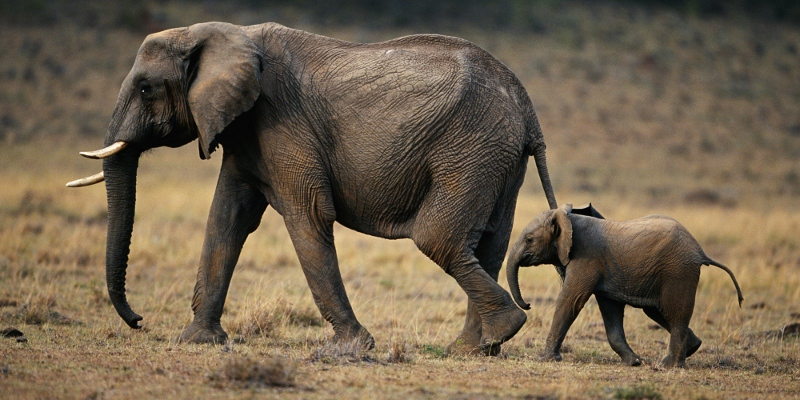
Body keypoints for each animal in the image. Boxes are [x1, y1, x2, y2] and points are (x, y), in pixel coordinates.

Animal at [69, 21, 556, 354]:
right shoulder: (246, 133)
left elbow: (308, 216)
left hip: (472, 146)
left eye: (146, 89)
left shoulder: (281, 121)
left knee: (438, 238)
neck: (216, 33)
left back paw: (501, 330)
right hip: (497, 157)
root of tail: (528, 107)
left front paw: (352, 348)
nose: (138, 320)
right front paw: (197, 341)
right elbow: (226, 219)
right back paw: (474, 348)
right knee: (488, 244)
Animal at [506, 205, 744, 368]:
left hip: (678, 271)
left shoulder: (586, 258)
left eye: (529, 239)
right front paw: (634, 362)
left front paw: (544, 359)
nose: (528, 305)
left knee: (675, 313)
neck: (567, 218)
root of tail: (700, 251)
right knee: (659, 311)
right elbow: (610, 310)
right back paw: (692, 348)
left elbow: (570, 300)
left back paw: (668, 366)